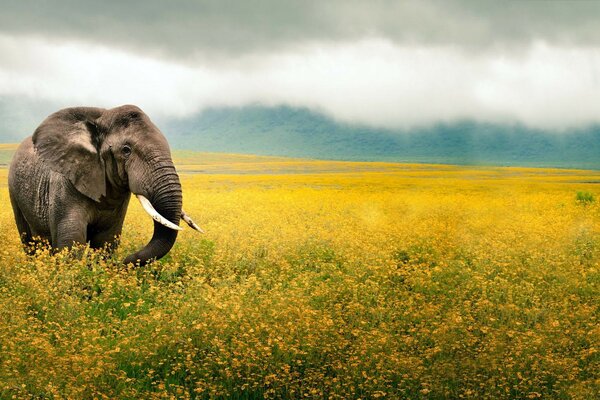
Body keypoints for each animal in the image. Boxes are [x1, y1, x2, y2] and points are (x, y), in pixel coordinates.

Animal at [8, 105, 203, 266]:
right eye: (126, 150)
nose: (124, 262)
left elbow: (106, 240)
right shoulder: (65, 182)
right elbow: (71, 240)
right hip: (14, 191)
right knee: (29, 241)